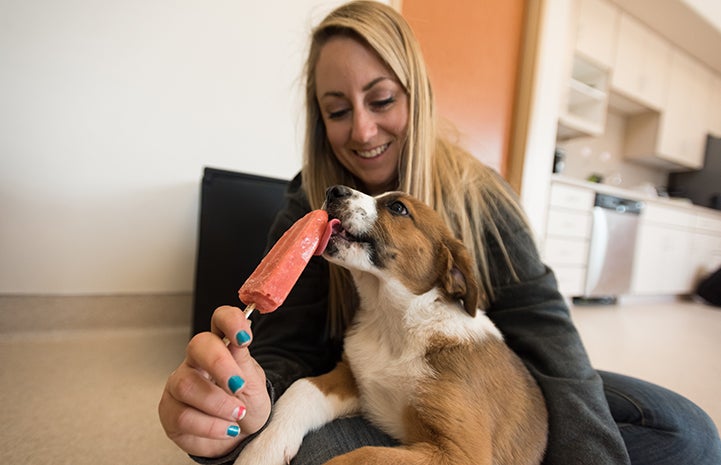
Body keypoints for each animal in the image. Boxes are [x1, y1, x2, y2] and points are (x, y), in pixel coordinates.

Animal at [236, 185, 544, 464]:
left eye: (398, 207)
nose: (333, 191)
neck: (394, 322)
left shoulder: (461, 452)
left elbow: (361, 456)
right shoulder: (353, 379)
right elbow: (300, 390)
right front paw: (261, 450)